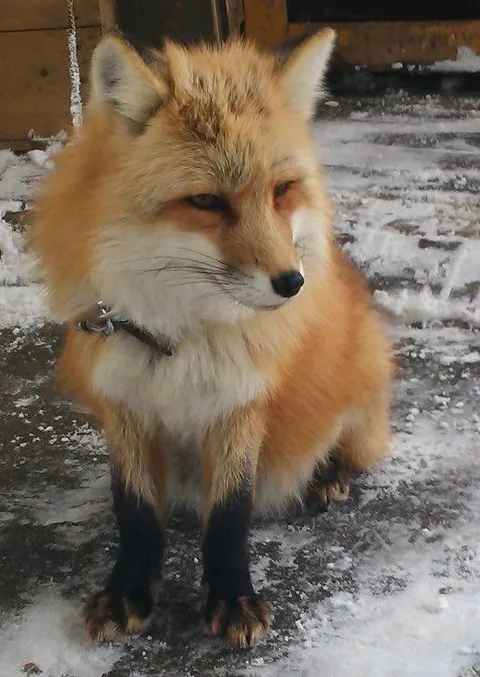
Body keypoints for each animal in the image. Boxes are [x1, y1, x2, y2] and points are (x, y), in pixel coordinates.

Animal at [30, 29, 392, 648]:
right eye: (206, 201)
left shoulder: (240, 402)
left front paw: (231, 599)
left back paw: (328, 475)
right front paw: (128, 591)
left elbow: (228, 512)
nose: (292, 283)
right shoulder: (123, 400)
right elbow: (134, 511)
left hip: (363, 369)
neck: (180, 337)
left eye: (281, 190)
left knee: (352, 442)